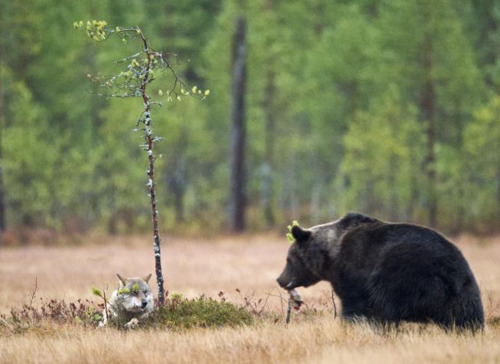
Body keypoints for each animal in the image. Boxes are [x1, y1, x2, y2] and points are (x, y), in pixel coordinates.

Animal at [278, 212, 484, 332]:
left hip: (402, 275)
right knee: (467, 317)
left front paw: (352, 324)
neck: (330, 255)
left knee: (385, 304)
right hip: (464, 291)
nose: (280, 279)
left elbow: (354, 304)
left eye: (288, 259)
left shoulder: (353, 270)